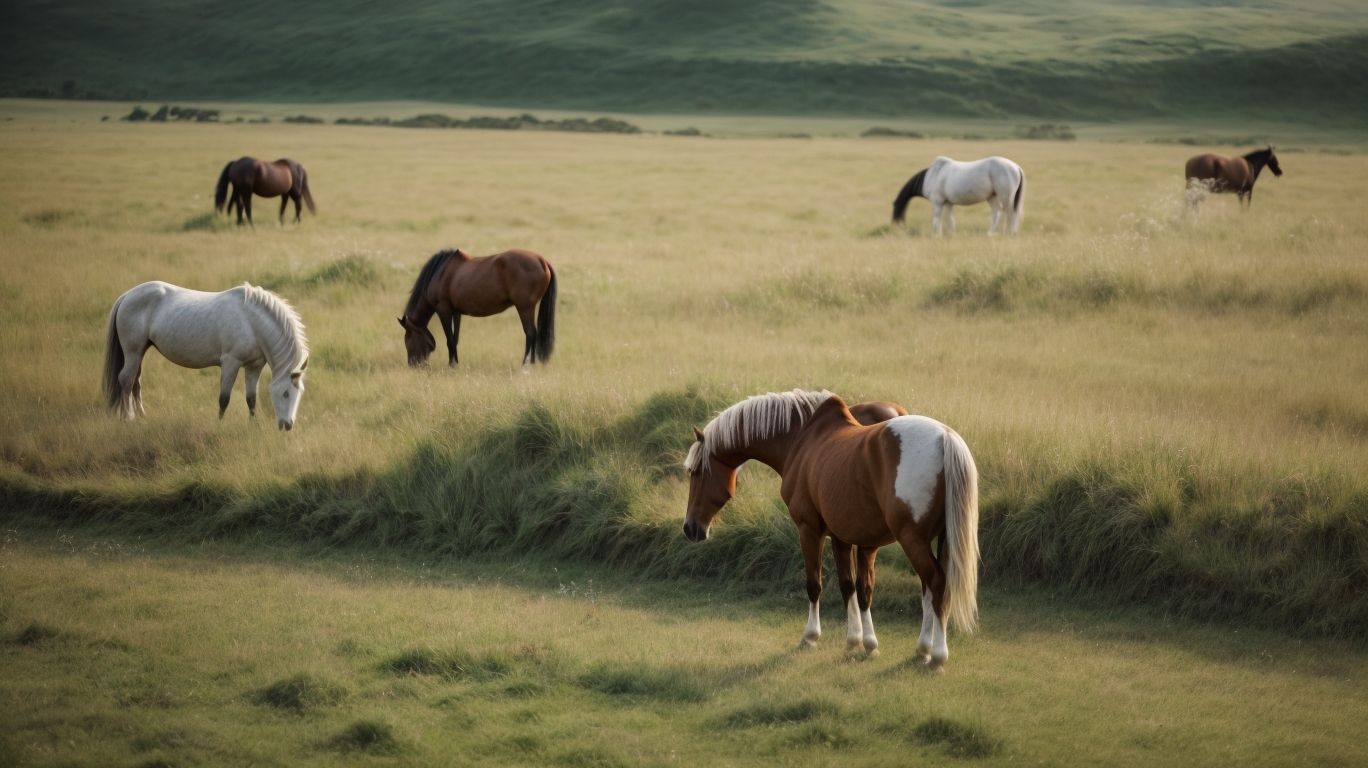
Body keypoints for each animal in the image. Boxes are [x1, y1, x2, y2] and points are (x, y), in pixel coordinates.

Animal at [102, 281, 310, 430]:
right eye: (285, 393)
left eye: (300, 393)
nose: (288, 425)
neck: (251, 321)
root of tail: (127, 296)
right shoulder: (230, 363)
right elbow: (224, 398)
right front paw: (219, 426)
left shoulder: (253, 366)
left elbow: (251, 399)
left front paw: (253, 425)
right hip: (133, 351)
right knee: (126, 380)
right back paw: (128, 418)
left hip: (141, 351)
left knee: (136, 383)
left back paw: (141, 416)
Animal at [399, 248, 557, 368]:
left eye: (408, 339)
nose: (413, 365)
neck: (440, 273)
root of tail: (541, 260)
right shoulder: (456, 312)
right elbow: (455, 339)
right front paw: (455, 364)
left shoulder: (443, 310)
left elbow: (449, 340)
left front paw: (451, 365)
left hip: (525, 307)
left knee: (530, 333)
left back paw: (526, 365)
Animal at [682, 390, 979, 670]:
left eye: (696, 471)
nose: (690, 529)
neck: (801, 439)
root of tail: (945, 437)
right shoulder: (844, 537)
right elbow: (854, 587)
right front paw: (860, 642)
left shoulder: (809, 529)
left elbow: (815, 585)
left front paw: (811, 636)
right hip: (938, 540)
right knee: (930, 588)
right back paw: (923, 650)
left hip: (912, 539)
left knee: (936, 583)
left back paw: (937, 656)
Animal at [893, 156, 1025, 236]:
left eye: (897, 212)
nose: (897, 226)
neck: (932, 175)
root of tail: (1016, 167)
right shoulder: (948, 203)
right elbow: (950, 220)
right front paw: (951, 234)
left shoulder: (937, 202)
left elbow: (937, 219)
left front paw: (936, 235)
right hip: (992, 197)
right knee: (997, 212)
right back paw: (990, 233)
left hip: (1006, 197)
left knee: (1011, 214)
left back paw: (1010, 233)